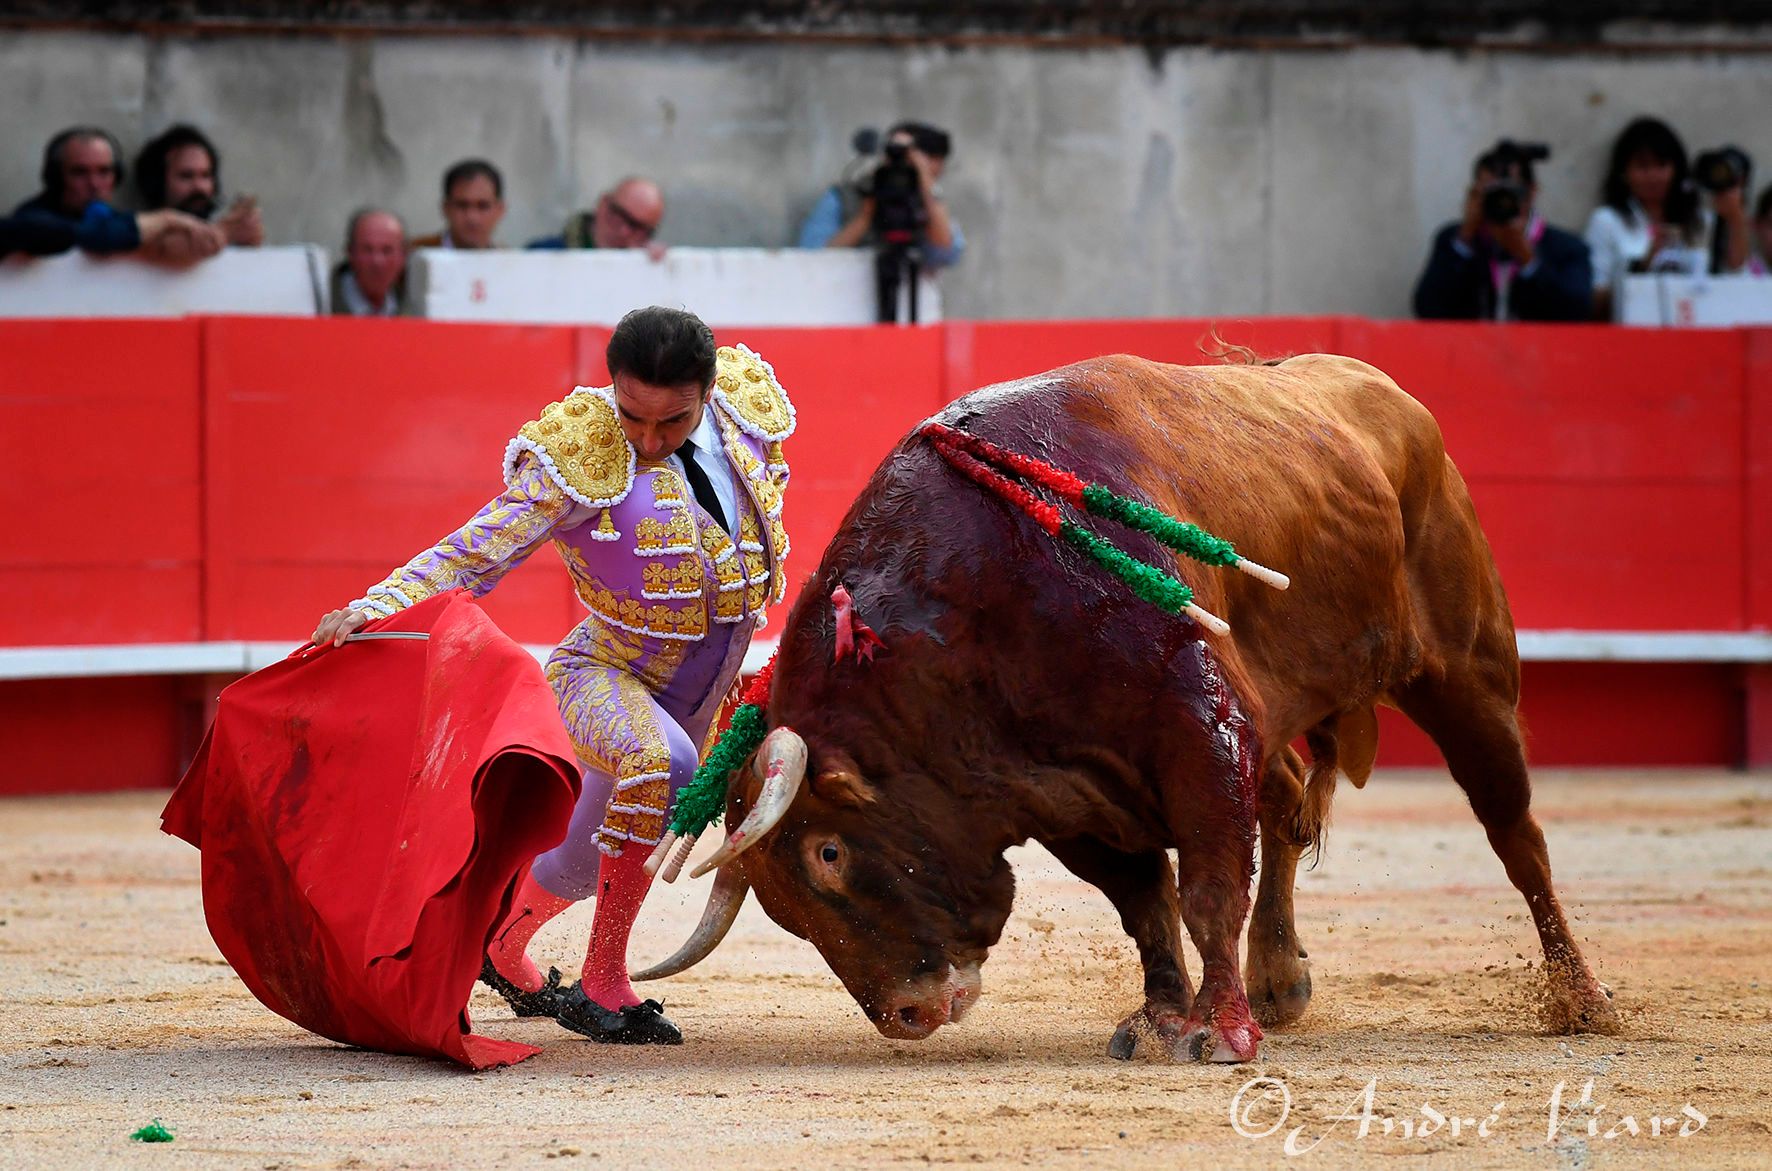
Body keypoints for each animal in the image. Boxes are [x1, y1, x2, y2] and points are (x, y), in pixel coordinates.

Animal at [637, 354, 1623, 1062]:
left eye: (830, 853)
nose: (908, 1012)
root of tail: (1390, 398)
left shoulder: (1200, 730)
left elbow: (1210, 887)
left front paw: (1218, 1032)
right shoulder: (1067, 796)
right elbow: (1147, 902)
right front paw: (1161, 1017)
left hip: (1468, 675)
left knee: (1516, 832)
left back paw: (1581, 998)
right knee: (1288, 800)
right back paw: (1280, 980)